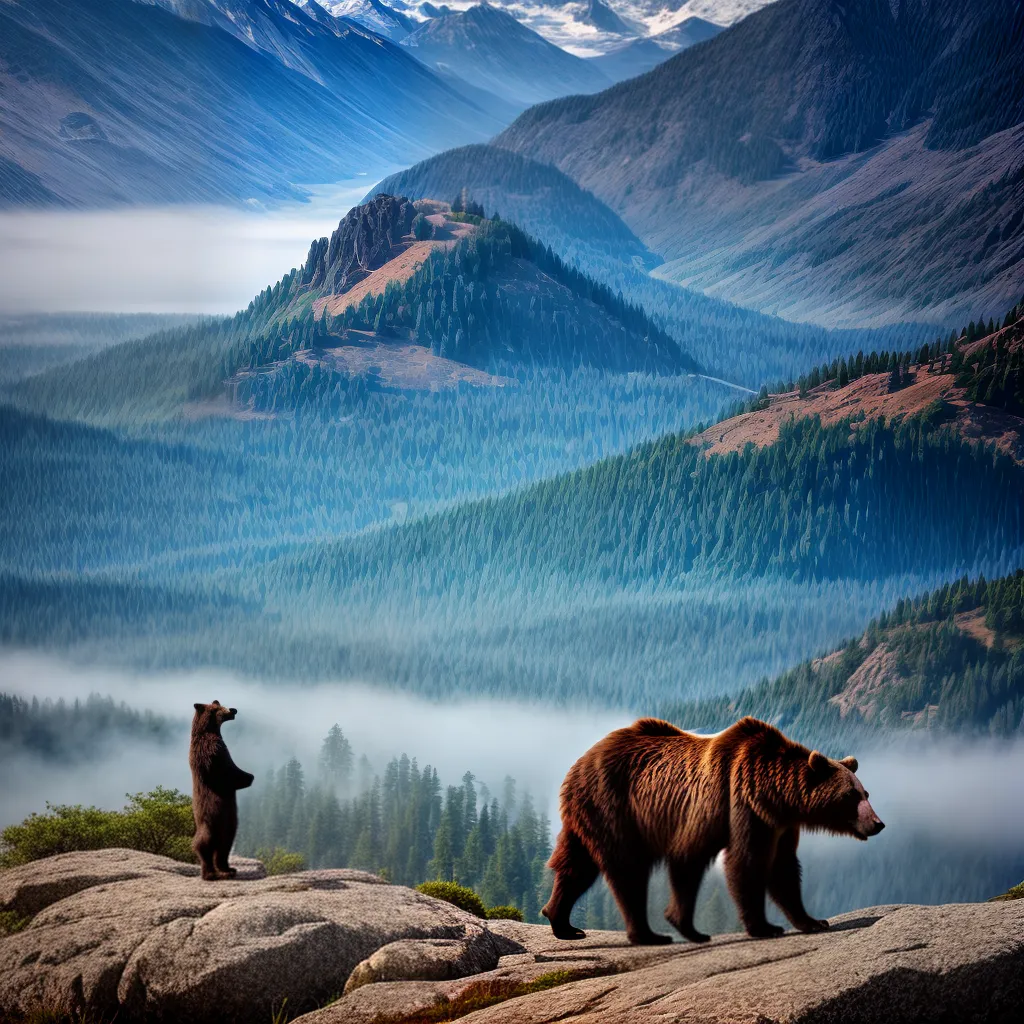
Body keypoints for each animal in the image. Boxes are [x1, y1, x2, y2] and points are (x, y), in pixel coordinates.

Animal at [189, 700, 254, 881]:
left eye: (221, 703)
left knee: (224, 846)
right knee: (205, 845)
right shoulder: (214, 752)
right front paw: (249, 777)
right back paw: (211, 873)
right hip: (213, 820)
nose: (233, 710)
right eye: (219, 708)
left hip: (227, 822)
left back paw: (228, 869)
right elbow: (230, 772)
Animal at [541, 716, 884, 945]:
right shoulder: (742, 803)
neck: (774, 795)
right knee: (627, 869)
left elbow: (783, 868)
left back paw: (562, 923)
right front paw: (765, 927)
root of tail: (577, 765)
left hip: (586, 817)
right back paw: (649, 935)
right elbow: (747, 863)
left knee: (575, 866)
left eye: (865, 792)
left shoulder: (779, 824)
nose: (878, 823)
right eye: (850, 795)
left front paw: (813, 921)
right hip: (614, 804)